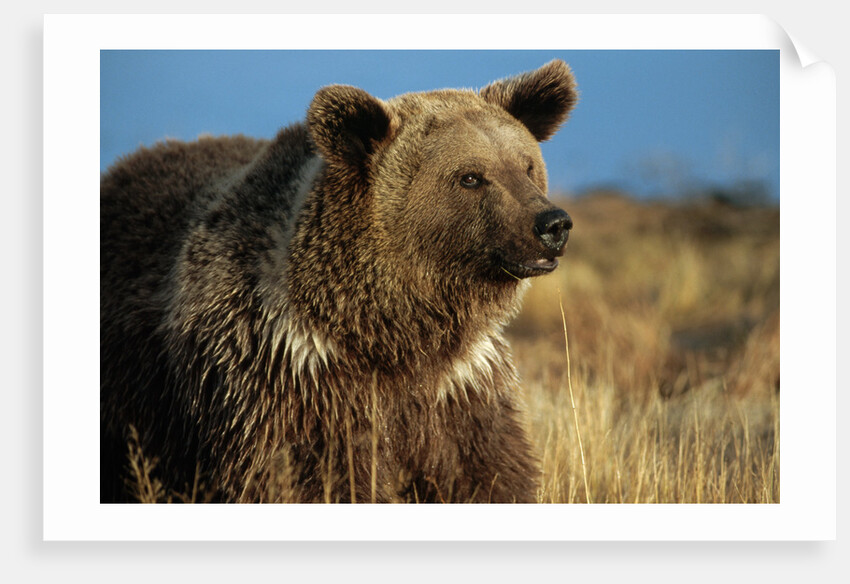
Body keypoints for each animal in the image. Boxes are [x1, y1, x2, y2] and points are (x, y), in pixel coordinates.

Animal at [100, 59, 577, 503]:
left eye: (527, 165)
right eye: (471, 177)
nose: (552, 224)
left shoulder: (460, 385)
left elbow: (488, 470)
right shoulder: (294, 383)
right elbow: (310, 479)